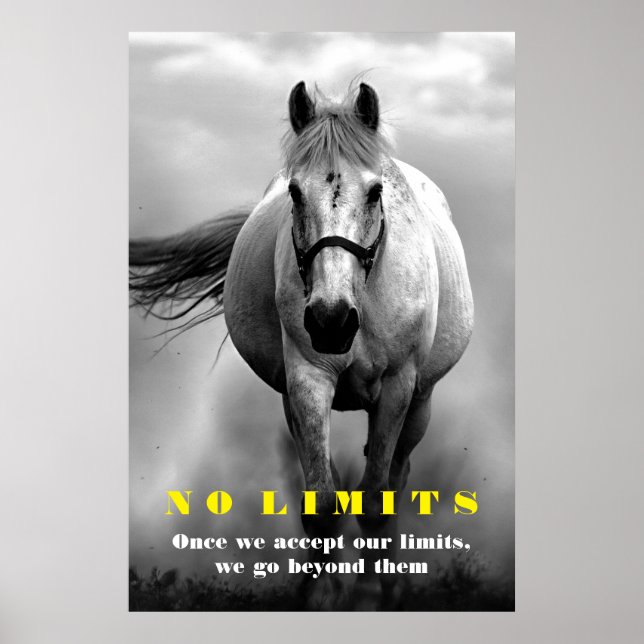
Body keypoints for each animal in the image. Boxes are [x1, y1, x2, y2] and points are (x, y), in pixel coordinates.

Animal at [130, 81, 474, 610]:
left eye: (375, 191)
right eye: (294, 192)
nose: (331, 321)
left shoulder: (398, 388)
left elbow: (375, 504)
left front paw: (371, 593)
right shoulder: (307, 381)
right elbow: (323, 503)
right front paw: (319, 597)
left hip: (420, 404)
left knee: (396, 479)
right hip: (293, 402)